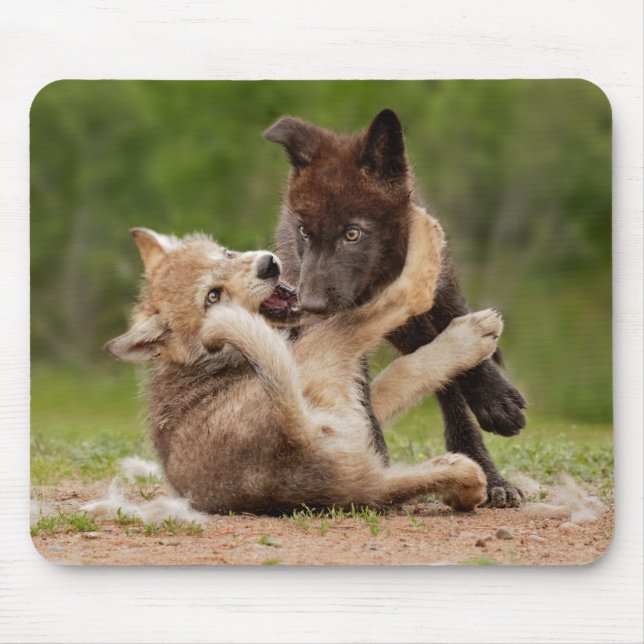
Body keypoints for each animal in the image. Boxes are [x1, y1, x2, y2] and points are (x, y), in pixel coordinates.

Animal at [105, 208, 503, 513]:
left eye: (227, 253)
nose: (268, 265)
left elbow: (398, 379)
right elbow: (407, 361)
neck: (212, 361)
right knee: (406, 297)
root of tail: (293, 439)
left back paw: (466, 481)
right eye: (212, 297)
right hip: (328, 348)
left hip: (368, 474)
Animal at [264, 108, 526, 507]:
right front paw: (372, 464)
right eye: (305, 232)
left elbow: (464, 348)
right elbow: (360, 399)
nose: (308, 304)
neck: (379, 282)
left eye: (352, 234)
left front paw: (496, 401)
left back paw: (488, 472)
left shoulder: (439, 294)